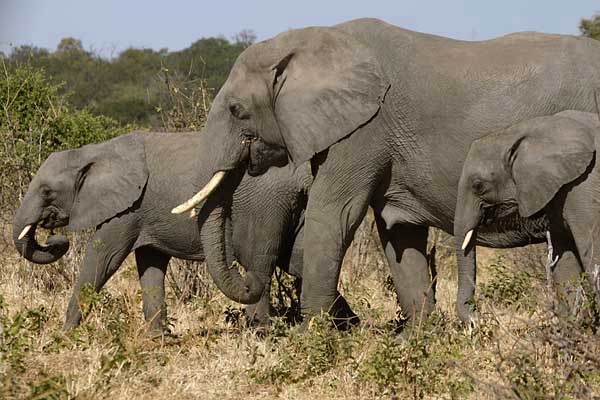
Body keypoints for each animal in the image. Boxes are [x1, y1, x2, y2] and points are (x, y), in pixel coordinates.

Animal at [12, 130, 356, 332]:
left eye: (46, 192)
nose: (55, 238)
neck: (92, 152)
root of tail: (302, 174)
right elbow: (150, 264)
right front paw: (158, 339)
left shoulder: (127, 209)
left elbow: (104, 258)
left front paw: (65, 336)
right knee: (298, 260)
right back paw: (348, 327)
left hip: (265, 205)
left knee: (260, 262)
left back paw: (260, 335)